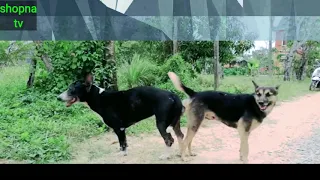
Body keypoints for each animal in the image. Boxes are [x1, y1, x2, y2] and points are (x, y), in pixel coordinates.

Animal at [56, 73, 184, 159]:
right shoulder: (121, 129)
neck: (99, 97)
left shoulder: (119, 128)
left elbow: (122, 144)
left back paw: (165, 156)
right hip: (175, 123)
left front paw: (122, 154)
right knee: (180, 136)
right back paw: (181, 153)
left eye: (71, 89)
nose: (58, 98)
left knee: (169, 139)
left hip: (161, 124)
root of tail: (173, 96)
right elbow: (125, 143)